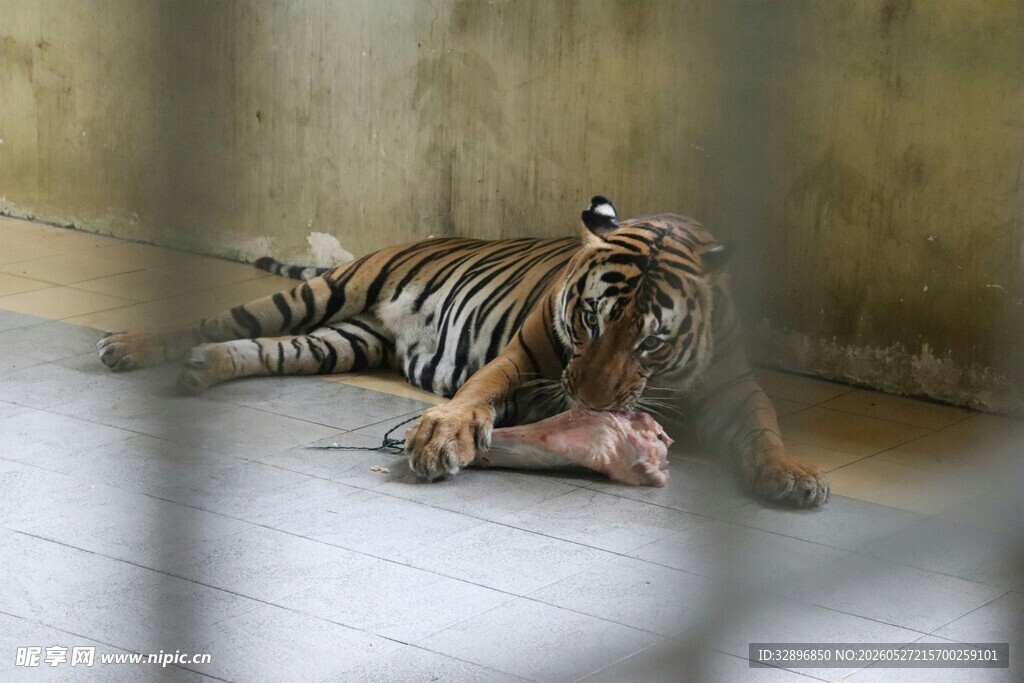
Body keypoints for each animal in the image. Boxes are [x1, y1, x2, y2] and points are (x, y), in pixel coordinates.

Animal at [96, 197, 828, 507]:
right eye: (589, 318)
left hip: (341, 341)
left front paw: (794, 475)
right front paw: (443, 435)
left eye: (650, 338)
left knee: (265, 349)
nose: (592, 406)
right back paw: (130, 346)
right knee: (219, 316)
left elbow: (764, 430)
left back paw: (202, 367)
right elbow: (478, 392)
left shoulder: (733, 387)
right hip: (325, 293)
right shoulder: (526, 357)